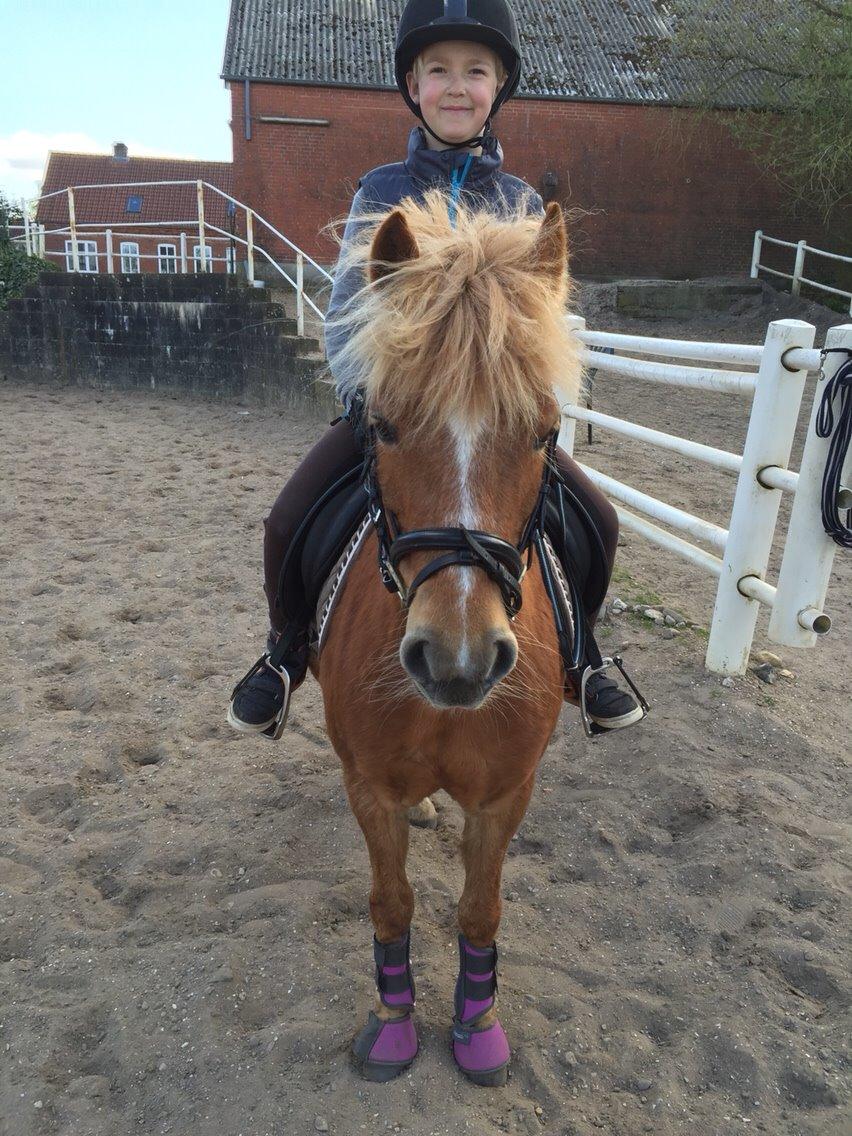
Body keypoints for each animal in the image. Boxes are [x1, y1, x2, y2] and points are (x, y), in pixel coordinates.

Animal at [314, 190, 583, 1085]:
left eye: (543, 432)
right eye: (387, 426)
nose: (458, 659)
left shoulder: (505, 796)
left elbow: (480, 909)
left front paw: (478, 1026)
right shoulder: (367, 787)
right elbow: (390, 901)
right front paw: (395, 1023)